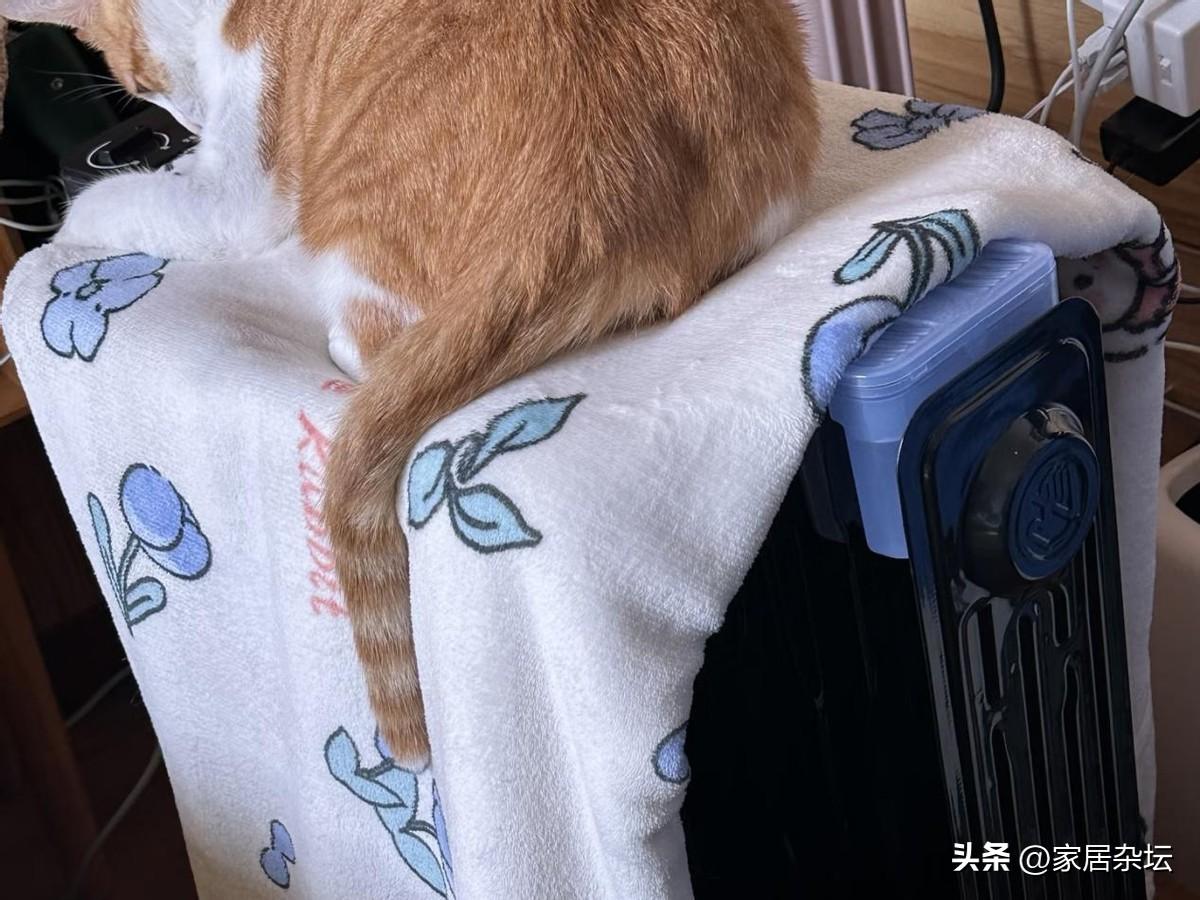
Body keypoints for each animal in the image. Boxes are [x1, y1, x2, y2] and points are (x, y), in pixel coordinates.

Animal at [3, 0, 818, 762]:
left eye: (141, 87)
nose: (188, 125)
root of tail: (593, 192)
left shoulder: (238, 191)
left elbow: (114, 202)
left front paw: (78, 219)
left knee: (366, 345)